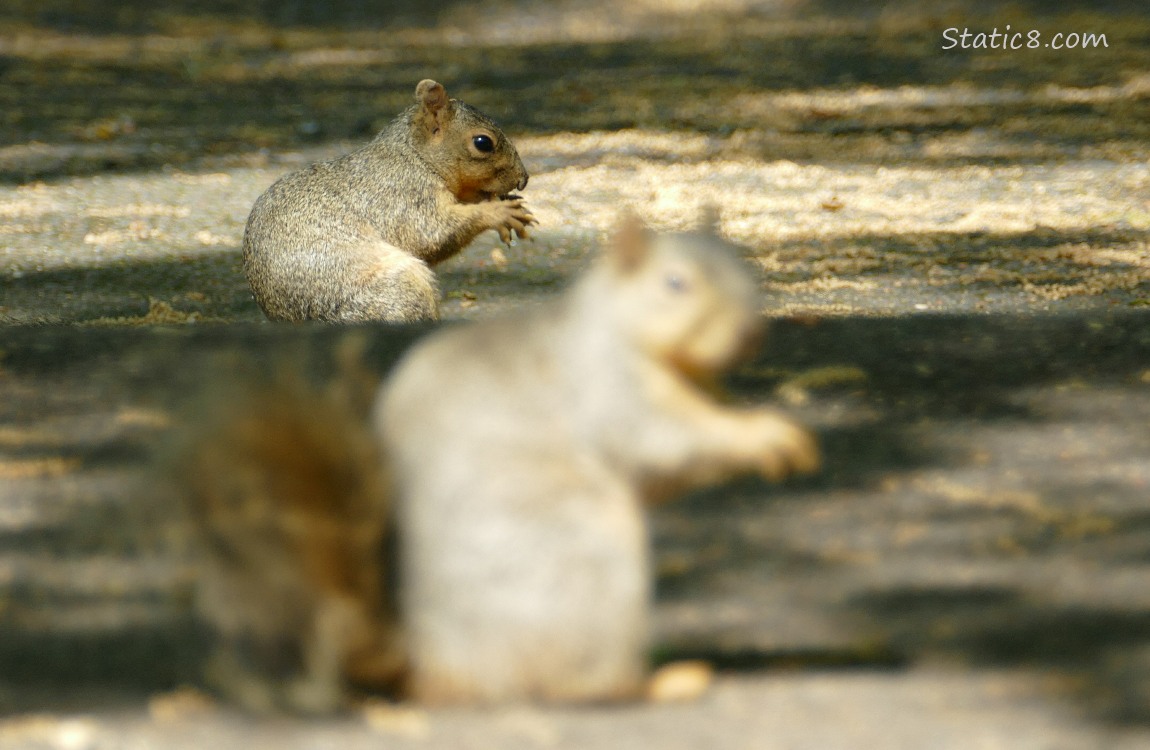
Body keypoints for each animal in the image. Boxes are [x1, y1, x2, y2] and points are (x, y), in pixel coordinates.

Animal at [175, 216, 819, 712]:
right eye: (675, 283)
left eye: (745, 271)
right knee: (575, 686)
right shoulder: (609, 393)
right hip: (589, 564)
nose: (750, 333)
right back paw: (665, 683)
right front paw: (761, 436)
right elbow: (666, 444)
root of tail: (433, 665)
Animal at [241, 79, 534, 324]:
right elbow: (431, 234)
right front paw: (499, 211)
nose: (523, 179)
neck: (415, 156)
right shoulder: (404, 195)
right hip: (397, 291)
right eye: (483, 142)